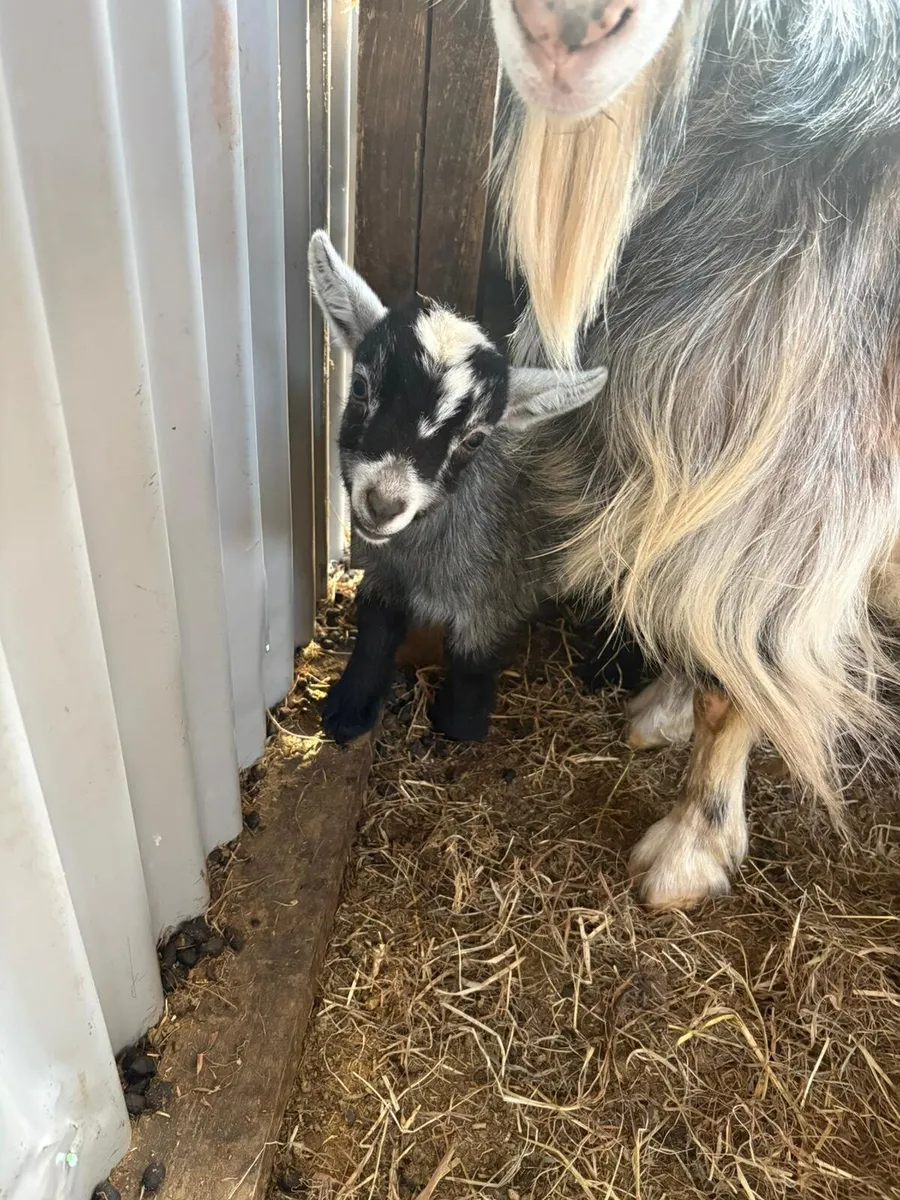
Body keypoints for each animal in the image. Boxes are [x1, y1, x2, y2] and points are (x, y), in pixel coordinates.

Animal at [308, 231, 607, 745]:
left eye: (474, 438)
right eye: (361, 388)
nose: (383, 504)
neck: (419, 560)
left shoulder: (495, 593)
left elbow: (472, 659)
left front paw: (459, 725)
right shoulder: (382, 572)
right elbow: (375, 627)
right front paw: (350, 707)